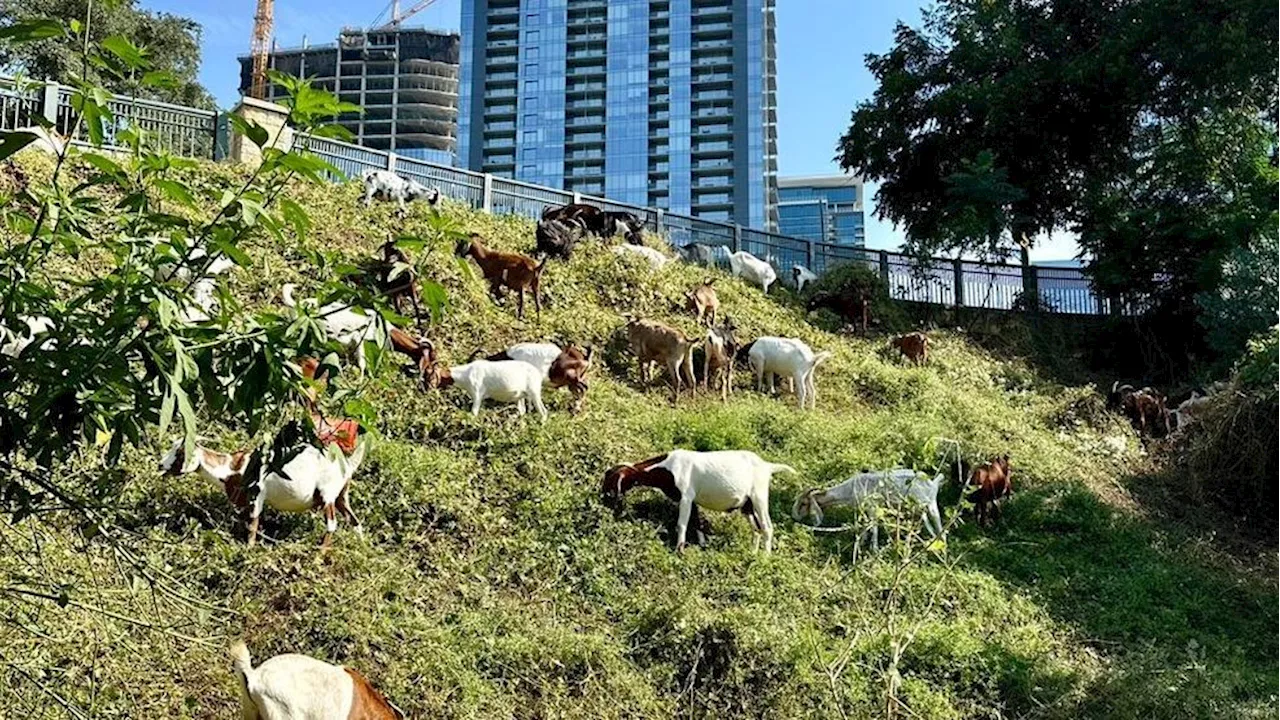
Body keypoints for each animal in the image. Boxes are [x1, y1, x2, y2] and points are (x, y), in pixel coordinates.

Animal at [159, 425, 368, 543]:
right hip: (341, 495)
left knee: (332, 525)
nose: (160, 464)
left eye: (180, 452)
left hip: (327, 494)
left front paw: (248, 552)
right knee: (355, 522)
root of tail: (347, 464)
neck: (234, 468)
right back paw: (362, 551)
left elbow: (253, 526)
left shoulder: (257, 495)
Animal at [601, 448, 798, 548]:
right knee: (756, 529)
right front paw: (702, 545)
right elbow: (697, 522)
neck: (667, 468)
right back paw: (753, 554)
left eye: (611, 485)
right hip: (746, 505)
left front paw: (679, 550)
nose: (604, 503)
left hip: (759, 497)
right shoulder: (692, 500)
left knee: (767, 527)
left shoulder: (686, 497)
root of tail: (768, 466)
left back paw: (765, 559)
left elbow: (682, 524)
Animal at [793, 468, 947, 550]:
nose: (794, 516)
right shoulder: (864, 510)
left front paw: (874, 550)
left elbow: (874, 528)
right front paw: (860, 543)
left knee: (941, 530)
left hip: (931, 506)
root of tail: (933, 483)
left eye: (803, 503)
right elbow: (865, 528)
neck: (851, 488)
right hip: (920, 511)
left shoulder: (873, 507)